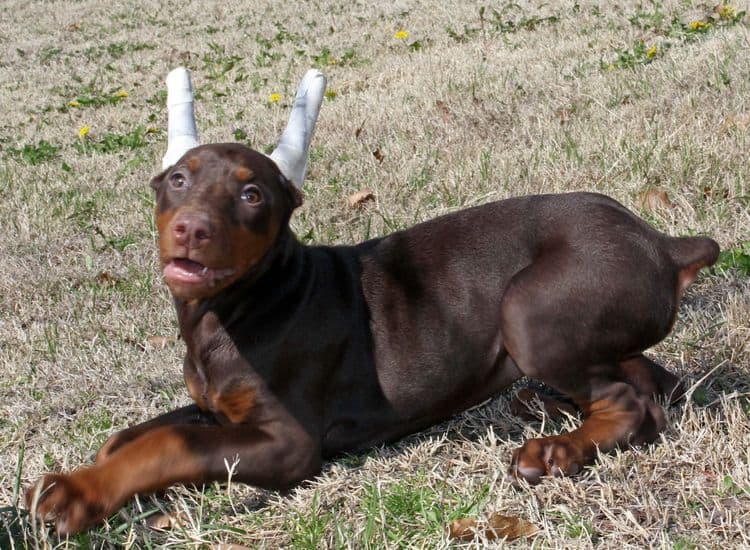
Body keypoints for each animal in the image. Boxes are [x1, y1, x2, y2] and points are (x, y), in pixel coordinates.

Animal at [26, 142, 724, 536]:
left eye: (251, 193)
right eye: (178, 179)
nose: (191, 229)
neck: (232, 309)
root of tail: (660, 243)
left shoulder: (289, 444)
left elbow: (167, 443)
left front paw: (81, 496)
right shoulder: (217, 406)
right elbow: (132, 434)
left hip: (527, 313)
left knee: (629, 401)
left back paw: (557, 450)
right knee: (654, 383)